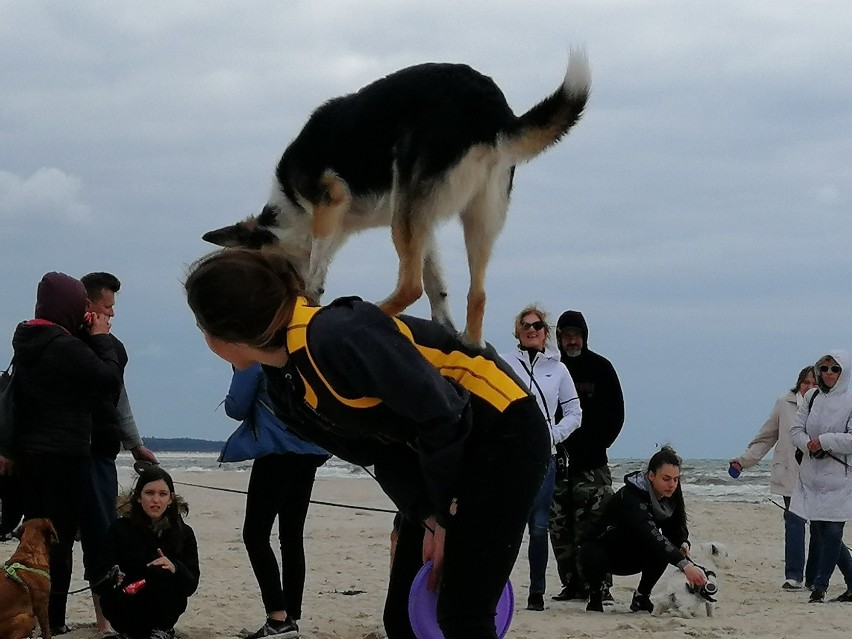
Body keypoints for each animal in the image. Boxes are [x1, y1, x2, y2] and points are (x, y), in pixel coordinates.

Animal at [206, 49, 592, 348]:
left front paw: (312, 297)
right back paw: (470, 341)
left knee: (410, 287)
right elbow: (438, 285)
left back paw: (375, 310)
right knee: (476, 293)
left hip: (404, 212)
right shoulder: (425, 225)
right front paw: (444, 325)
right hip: (472, 217)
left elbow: (318, 264)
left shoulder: (330, 202)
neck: (290, 207)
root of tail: (490, 108)